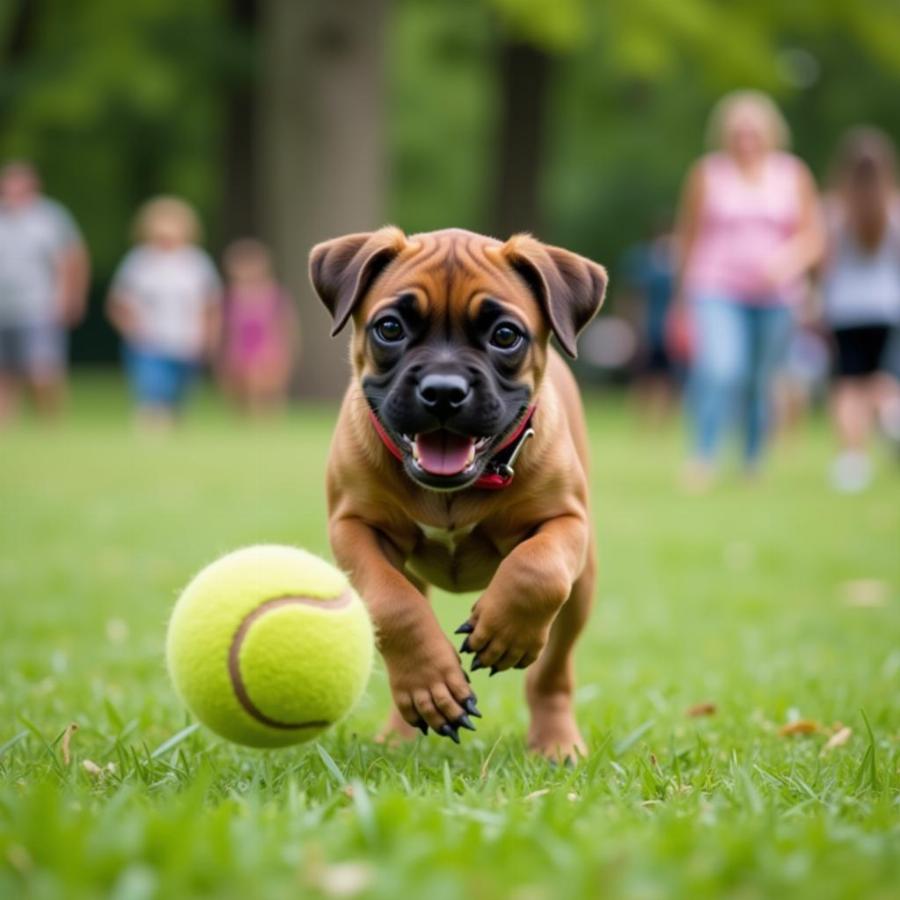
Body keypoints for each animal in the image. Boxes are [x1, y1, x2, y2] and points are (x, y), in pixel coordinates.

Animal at [306, 227, 608, 760]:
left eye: (505, 335)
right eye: (389, 328)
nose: (443, 391)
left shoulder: (566, 521)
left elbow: (538, 570)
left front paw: (505, 633)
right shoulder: (353, 527)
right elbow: (393, 604)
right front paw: (433, 689)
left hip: (583, 588)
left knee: (552, 673)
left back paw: (556, 743)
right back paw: (401, 732)